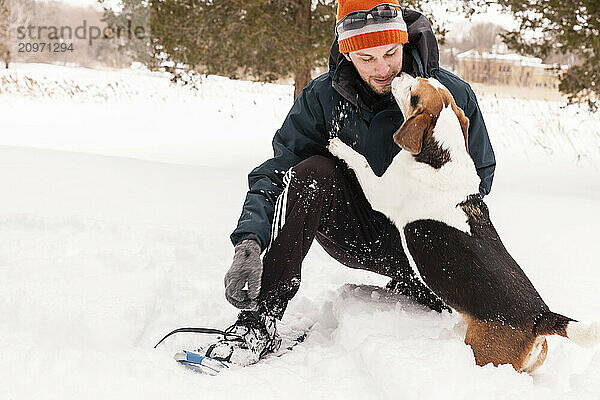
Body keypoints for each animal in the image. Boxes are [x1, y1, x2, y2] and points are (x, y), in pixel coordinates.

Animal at [328, 73, 600, 374]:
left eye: (413, 94)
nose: (399, 75)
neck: (443, 156)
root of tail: (539, 317)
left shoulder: (380, 189)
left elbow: (361, 162)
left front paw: (338, 145)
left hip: (484, 355)